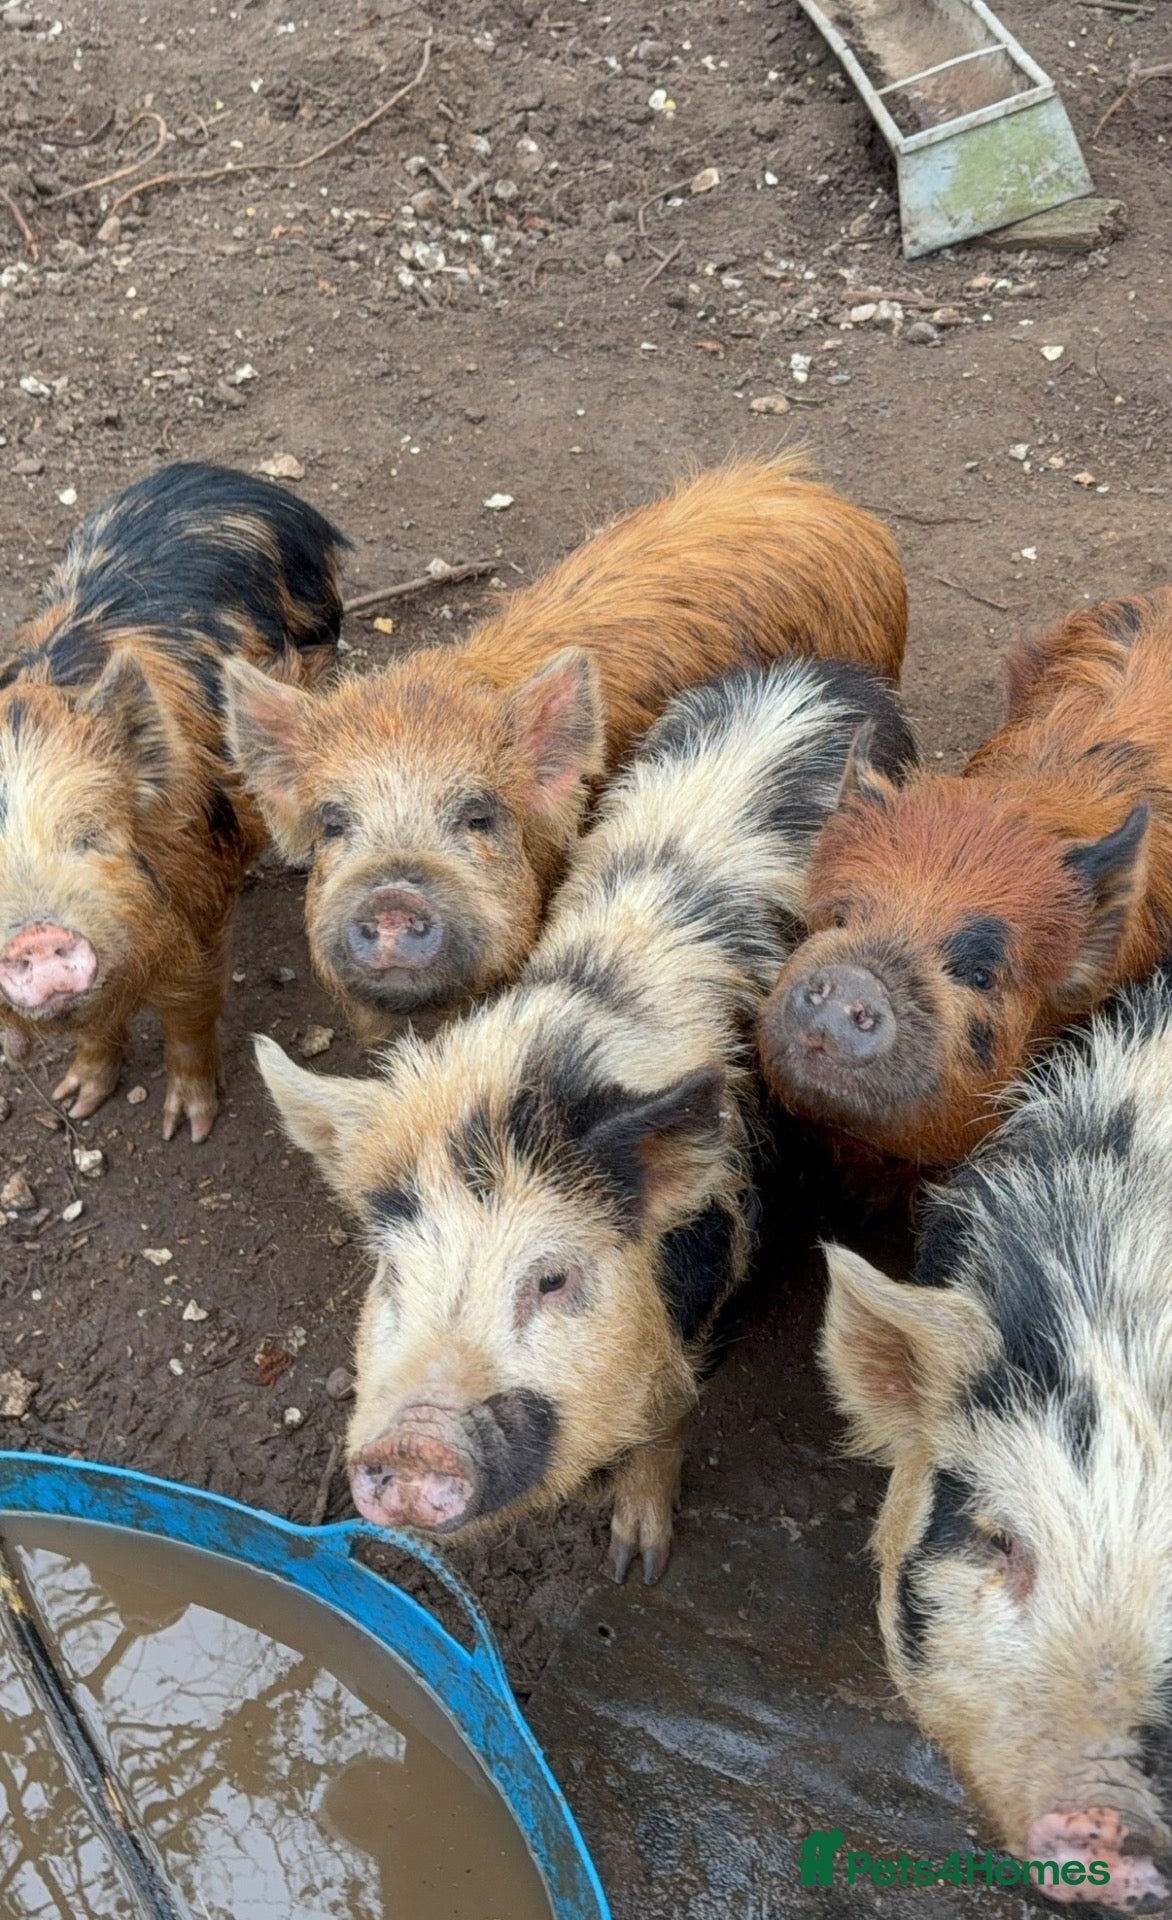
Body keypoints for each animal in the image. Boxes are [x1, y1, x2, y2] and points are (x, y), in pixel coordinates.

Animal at [0, 462, 348, 1140]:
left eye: (91, 836)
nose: (36, 938)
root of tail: (234, 480)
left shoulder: (201, 899)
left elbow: (191, 1010)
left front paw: (188, 1128)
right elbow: (99, 1029)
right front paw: (75, 1101)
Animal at [255, 658, 915, 1580]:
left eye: (553, 1278)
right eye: (391, 1274)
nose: (415, 1444)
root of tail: (824, 674)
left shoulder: (714, 1283)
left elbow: (669, 1413)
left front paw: (635, 1562)